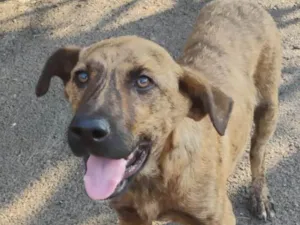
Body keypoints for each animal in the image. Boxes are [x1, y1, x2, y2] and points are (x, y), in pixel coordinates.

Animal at [34, 0, 282, 224]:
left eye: (143, 81)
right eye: (82, 76)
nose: (86, 131)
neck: (154, 177)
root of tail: (241, 3)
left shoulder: (219, 218)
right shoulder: (129, 216)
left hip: (268, 109)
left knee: (257, 152)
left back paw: (260, 196)